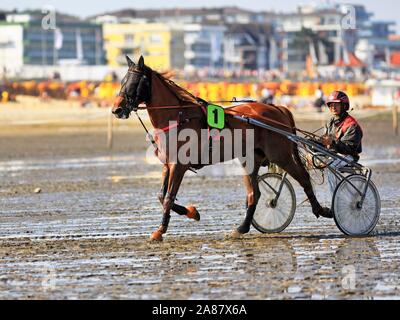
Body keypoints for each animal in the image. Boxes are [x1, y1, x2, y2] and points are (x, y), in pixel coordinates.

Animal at [111, 55, 332, 240]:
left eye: (133, 83)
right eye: (122, 81)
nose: (117, 109)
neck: (178, 117)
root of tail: (278, 108)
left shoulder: (178, 165)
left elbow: (168, 198)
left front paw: (160, 231)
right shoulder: (167, 165)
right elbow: (161, 196)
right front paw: (192, 212)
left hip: (280, 155)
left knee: (303, 178)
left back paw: (322, 210)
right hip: (250, 159)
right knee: (255, 194)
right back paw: (242, 228)